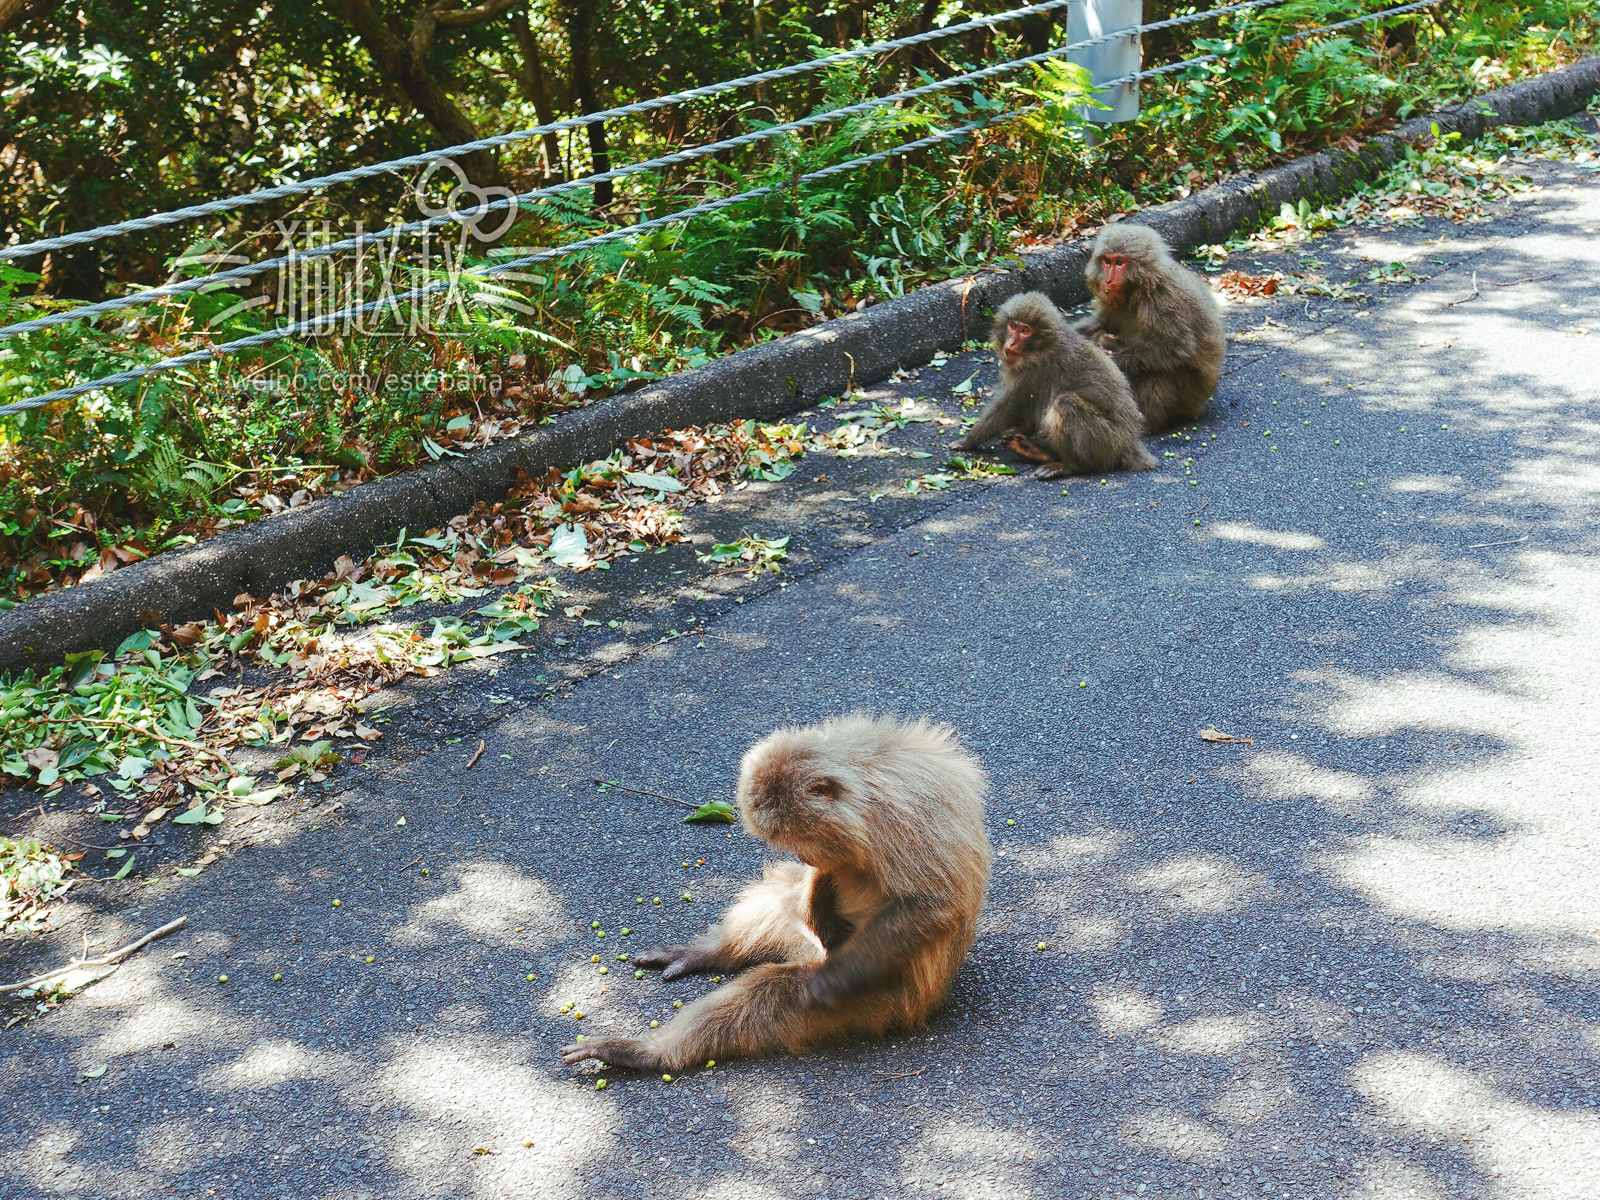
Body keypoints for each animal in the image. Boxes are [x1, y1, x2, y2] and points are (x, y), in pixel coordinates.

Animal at [560, 713, 985, 1068]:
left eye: (799, 836)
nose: (803, 854)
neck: (868, 778)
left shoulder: (903, 813)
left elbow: (931, 904)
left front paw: (830, 980)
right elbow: (825, 877)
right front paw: (817, 892)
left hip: (885, 998)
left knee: (776, 991)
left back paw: (650, 1053)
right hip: (812, 946)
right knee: (781, 899)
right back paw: (713, 953)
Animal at [953, 291, 1158, 480]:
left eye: (1025, 331)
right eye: (1012, 326)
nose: (1011, 342)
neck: (1042, 346)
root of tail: (1130, 444)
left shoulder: (1032, 371)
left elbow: (1006, 410)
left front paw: (968, 441)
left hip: (1108, 442)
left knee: (1066, 403)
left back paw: (1071, 465)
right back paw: (1037, 452)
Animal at [1075, 224, 1222, 435]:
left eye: (1120, 262)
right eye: (1106, 261)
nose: (1108, 280)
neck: (1139, 288)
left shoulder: (1165, 299)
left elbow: (1178, 347)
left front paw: (1112, 358)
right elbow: (1103, 323)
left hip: (1189, 397)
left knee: (1158, 370)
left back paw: (1144, 424)